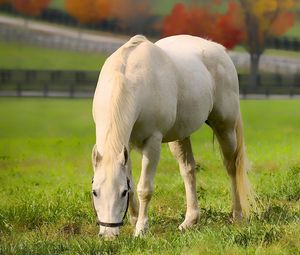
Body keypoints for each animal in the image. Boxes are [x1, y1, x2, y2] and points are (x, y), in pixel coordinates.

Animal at [92, 34, 252, 238]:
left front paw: (141, 229)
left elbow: (144, 188)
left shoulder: (152, 142)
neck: (129, 79)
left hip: (226, 128)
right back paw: (190, 221)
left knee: (232, 167)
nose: (108, 234)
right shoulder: (125, 145)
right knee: (188, 170)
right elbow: (133, 183)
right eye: (95, 192)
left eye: (121, 193)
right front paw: (134, 220)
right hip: (180, 137)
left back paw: (237, 215)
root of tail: (219, 49)